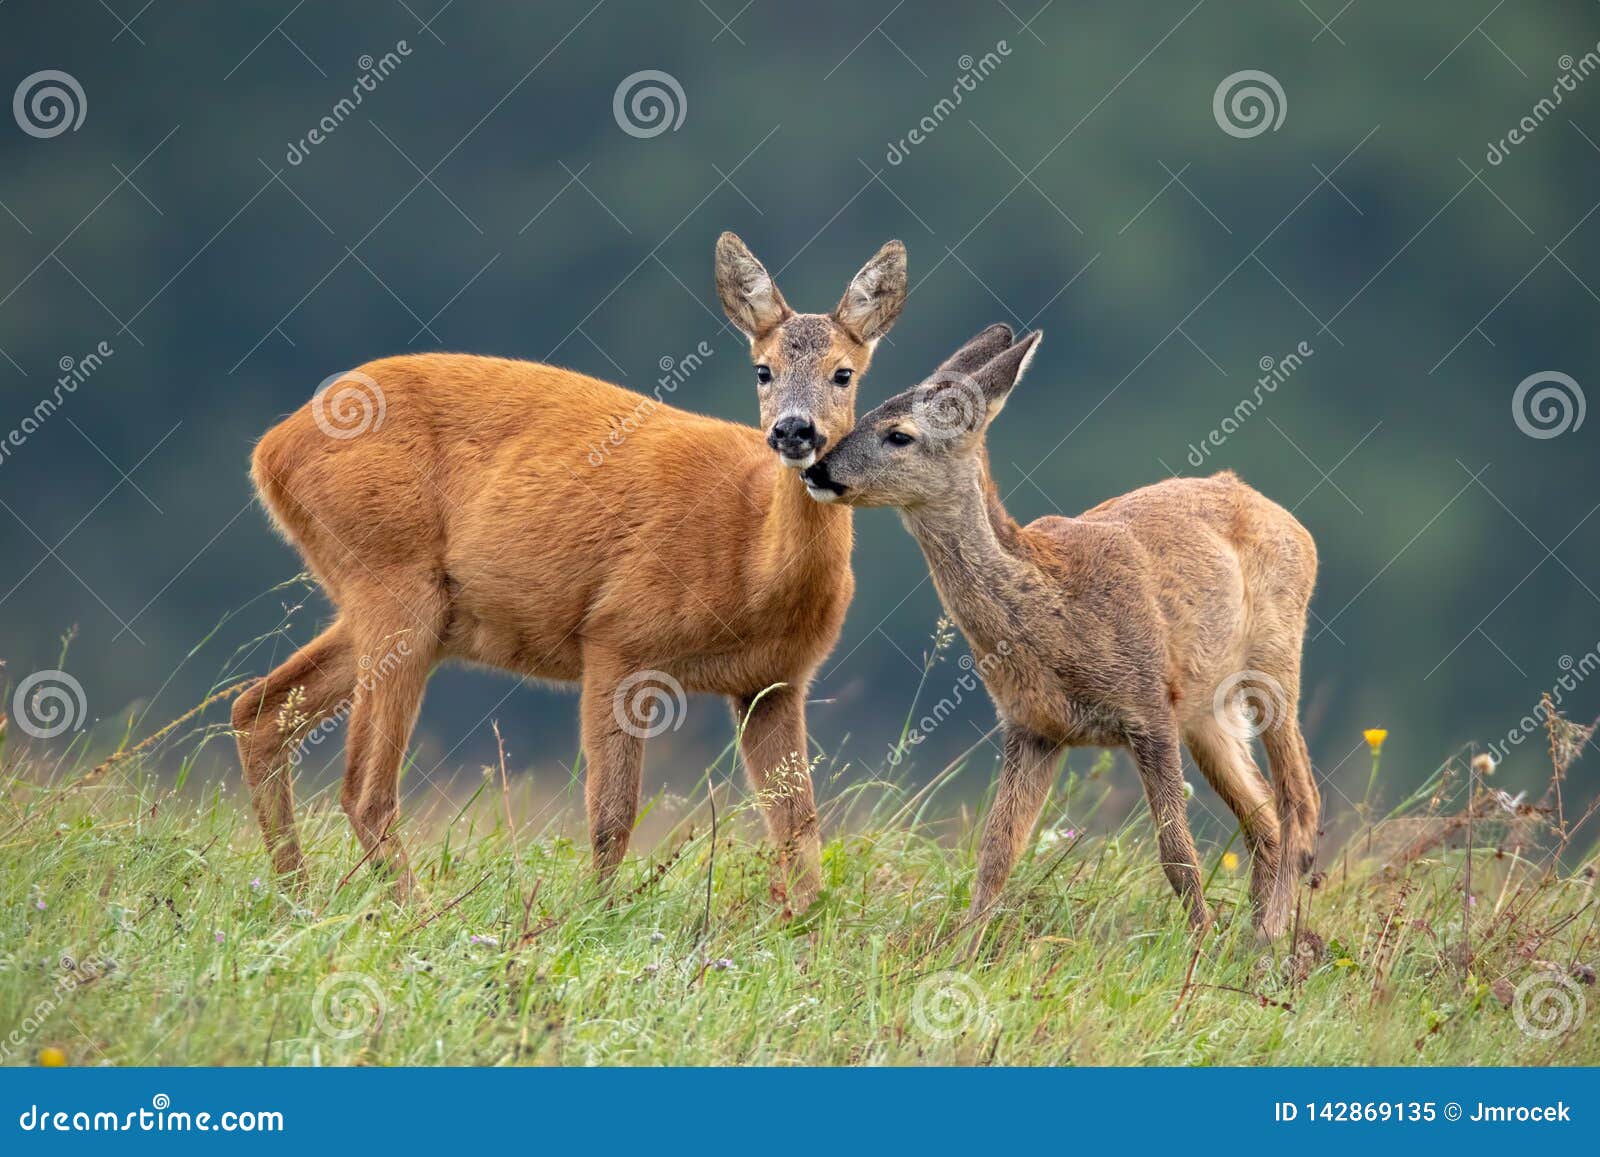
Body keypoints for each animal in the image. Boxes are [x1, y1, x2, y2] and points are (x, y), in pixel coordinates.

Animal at [238, 230, 915, 908]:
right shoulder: (617, 635)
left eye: (843, 372)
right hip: (393, 578)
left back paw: (296, 894)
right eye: (763, 369)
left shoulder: (774, 681)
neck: (751, 565)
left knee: (259, 711)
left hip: (404, 605)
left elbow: (799, 826)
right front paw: (598, 914)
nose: (793, 430)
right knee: (362, 787)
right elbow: (612, 815)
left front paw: (804, 920)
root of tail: (270, 451)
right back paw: (410, 910)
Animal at [806, 328, 1318, 940]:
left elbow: (1176, 852)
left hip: (1275, 657)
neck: (1054, 612)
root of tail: (1286, 517)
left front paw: (1195, 946)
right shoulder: (1032, 726)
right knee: (1263, 817)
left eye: (899, 434)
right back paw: (1255, 938)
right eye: (864, 410)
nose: (815, 470)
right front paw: (960, 949)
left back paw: (1270, 936)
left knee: (1299, 803)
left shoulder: (1148, 708)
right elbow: (997, 852)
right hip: (1206, 709)